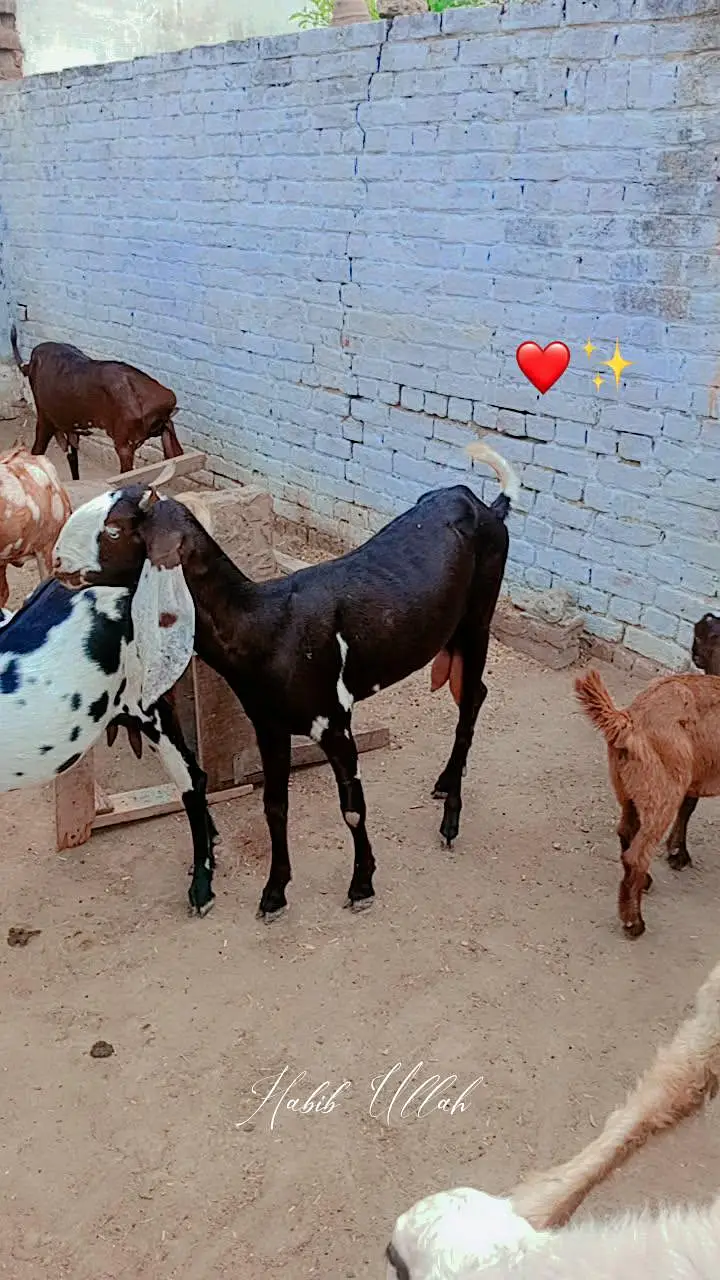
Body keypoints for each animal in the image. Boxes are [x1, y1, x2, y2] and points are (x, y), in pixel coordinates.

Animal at [51, 439, 518, 920]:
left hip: (478, 619)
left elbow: (352, 809)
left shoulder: (333, 720)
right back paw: (444, 783)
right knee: (473, 693)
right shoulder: (269, 724)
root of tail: (488, 507)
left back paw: (451, 819)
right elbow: (274, 807)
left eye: (113, 531)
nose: (57, 562)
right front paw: (274, 893)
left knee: (469, 703)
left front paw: (361, 886)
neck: (267, 626)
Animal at [575, 667, 720, 937]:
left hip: (631, 792)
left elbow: (688, 808)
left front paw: (677, 853)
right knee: (637, 855)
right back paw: (634, 921)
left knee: (626, 834)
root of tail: (629, 721)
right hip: (663, 795)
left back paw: (643, 883)